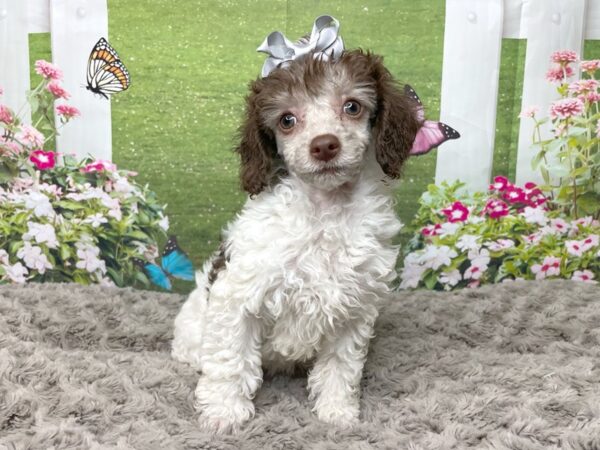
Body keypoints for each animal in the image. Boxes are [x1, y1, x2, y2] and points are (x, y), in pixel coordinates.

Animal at [171, 48, 420, 432]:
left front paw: (337, 411)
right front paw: (224, 413)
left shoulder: (354, 308)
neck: (325, 211)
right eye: (287, 120)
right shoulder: (237, 297)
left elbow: (340, 367)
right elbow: (230, 360)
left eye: (352, 106)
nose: (325, 145)